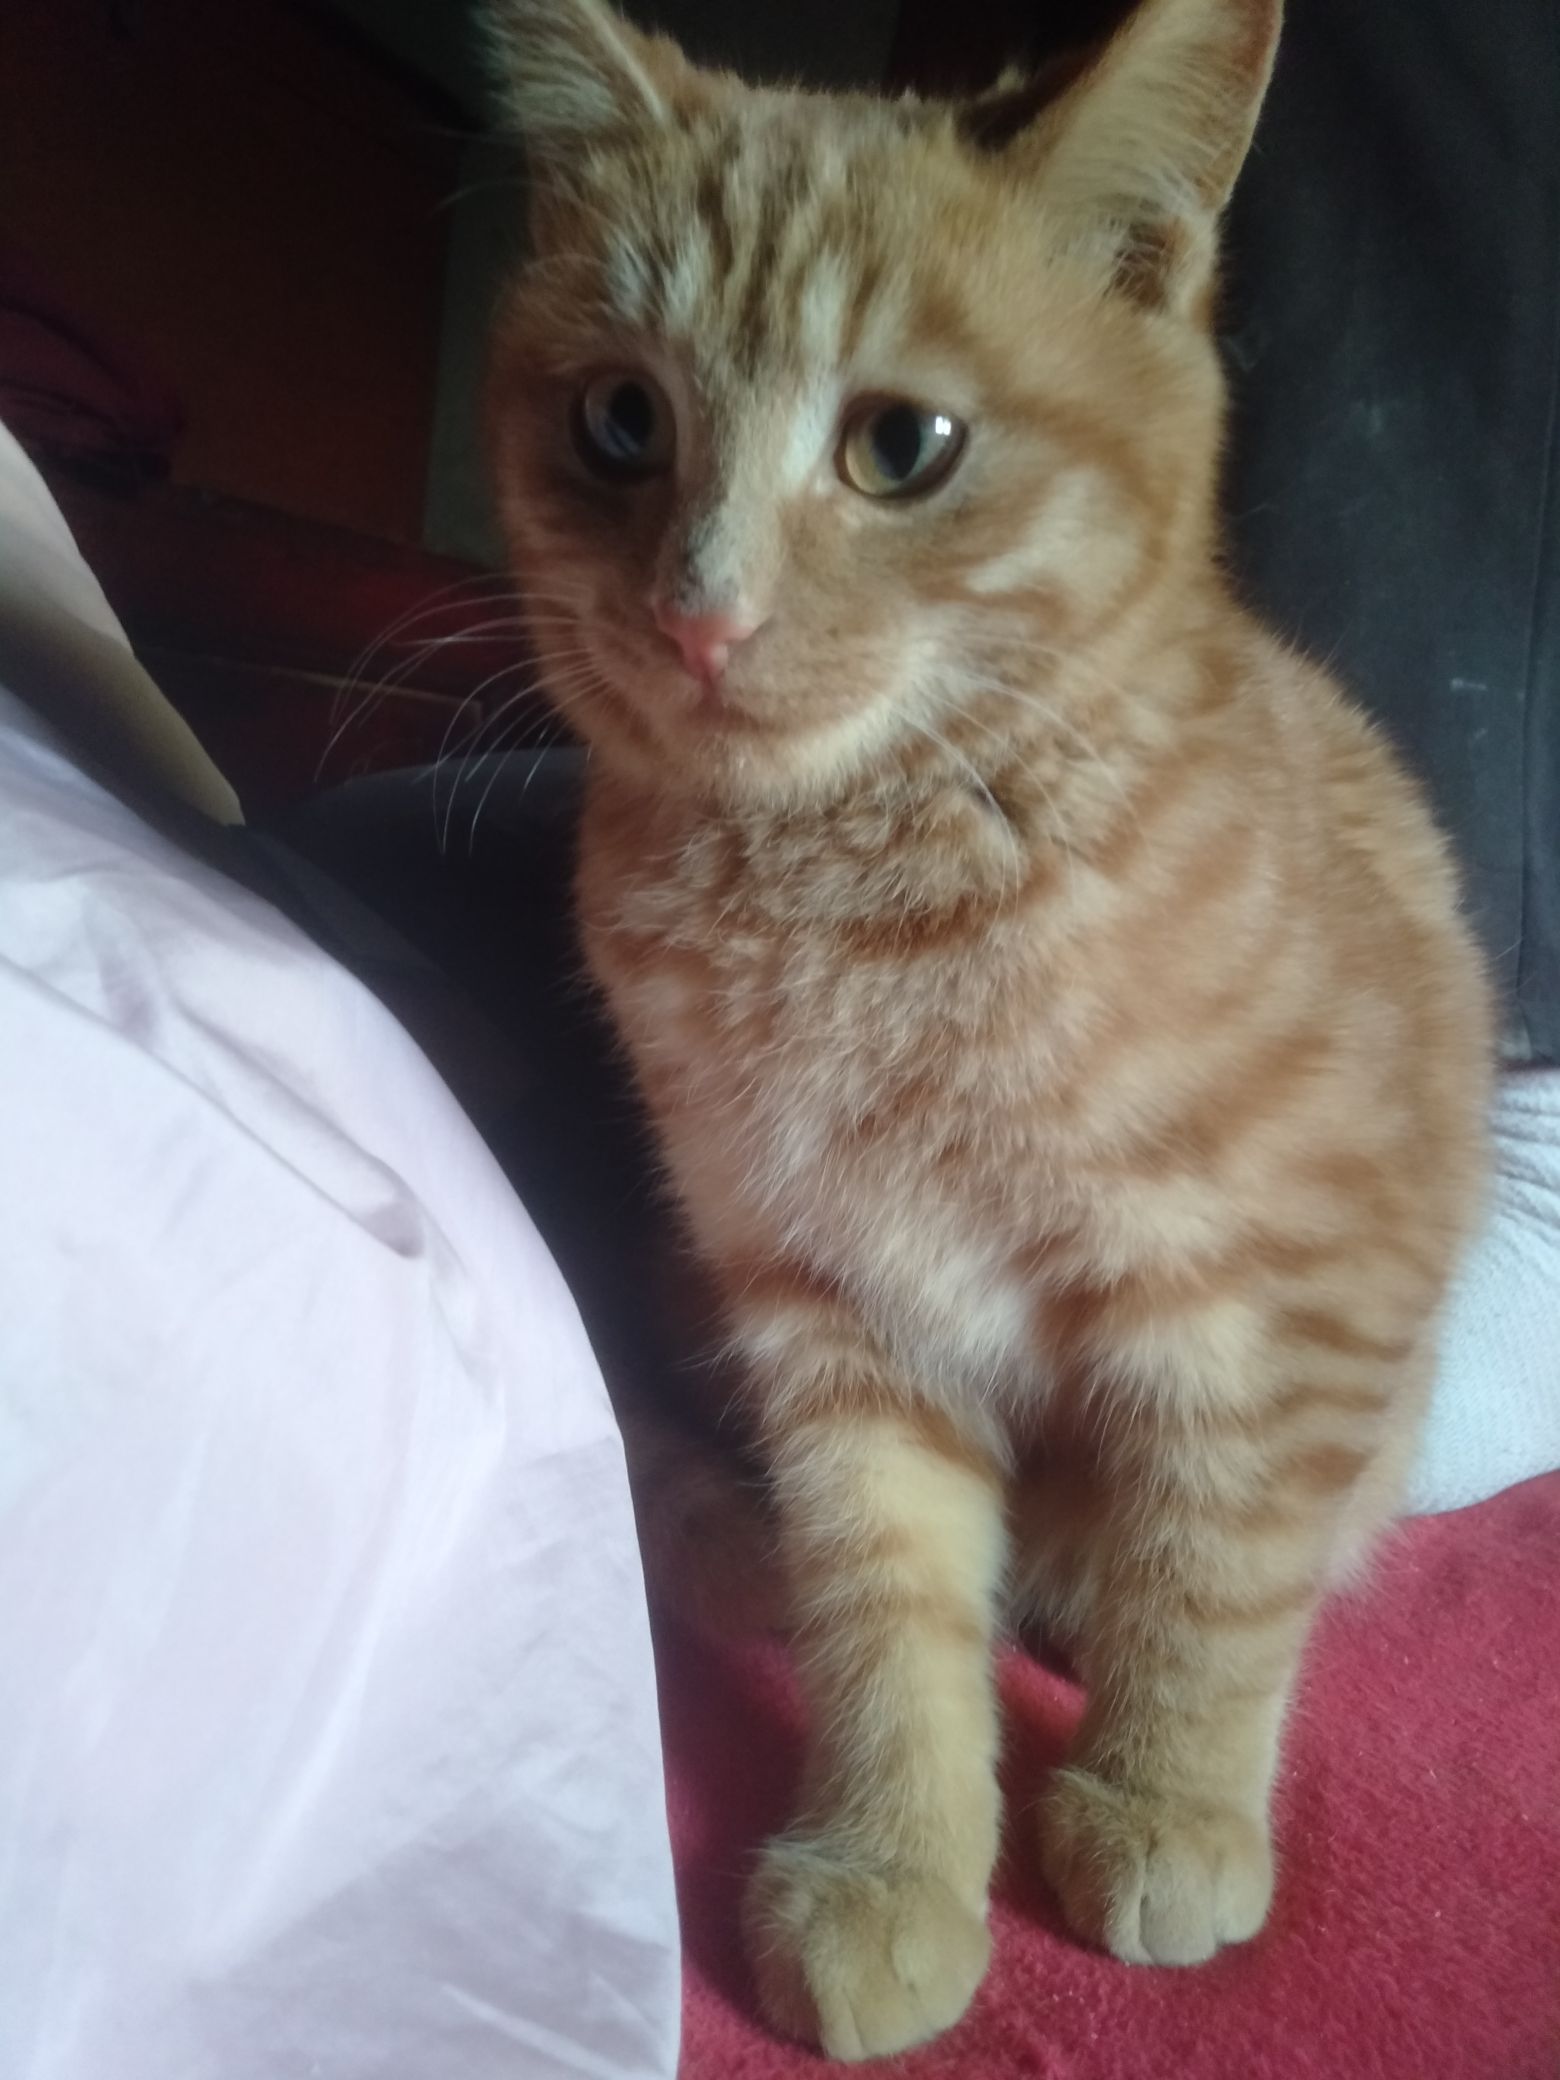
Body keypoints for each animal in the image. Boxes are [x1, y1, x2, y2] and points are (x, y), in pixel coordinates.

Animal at [482, 0, 1493, 2058]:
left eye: (903, 446)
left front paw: (1169, 1803)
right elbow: (883, 1604)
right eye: (620, 422)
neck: (867, 899)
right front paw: (891, 1861)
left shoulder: (1290, 1307)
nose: (699, 615)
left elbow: (1220, 1576)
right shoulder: (830, 1317)